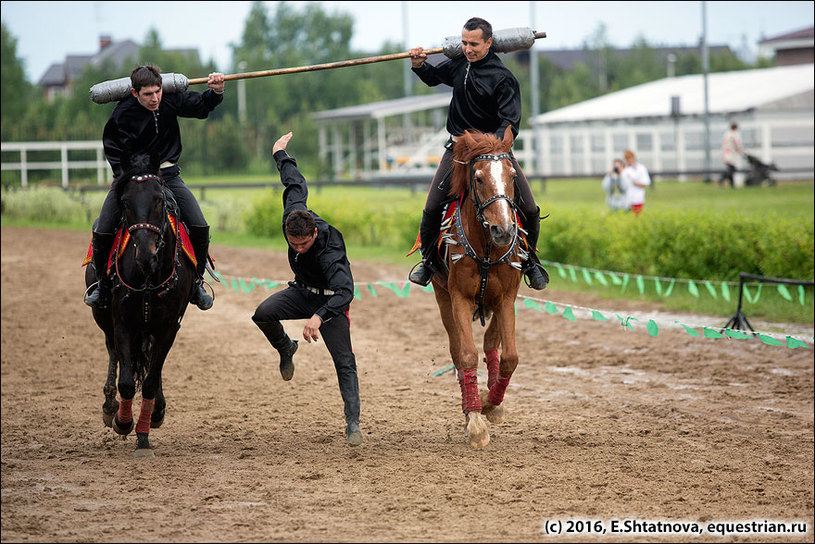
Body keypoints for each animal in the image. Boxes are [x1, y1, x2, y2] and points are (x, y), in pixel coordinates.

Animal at [85, 153, 196, 460]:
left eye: (159, 200)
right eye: (125, 202)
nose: (146, 255)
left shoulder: (169, 327)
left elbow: (149, 380)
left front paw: (144, 436)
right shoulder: (123, 323)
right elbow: (126, 381)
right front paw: (123, 422)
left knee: (150, 367)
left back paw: (156, 409)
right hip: (106, 320)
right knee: (113, 353)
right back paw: (109, 406)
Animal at [430, 127, 524, 450]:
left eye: (512, 176)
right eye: (479, 178)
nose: (504, 230)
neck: (486, 247)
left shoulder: (506, 299)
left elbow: (509, 358)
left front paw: (490, 403)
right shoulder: (458, 298)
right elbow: (467, 355)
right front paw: (474, 421)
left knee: (491, 344)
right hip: (442, 297)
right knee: (457, 352)